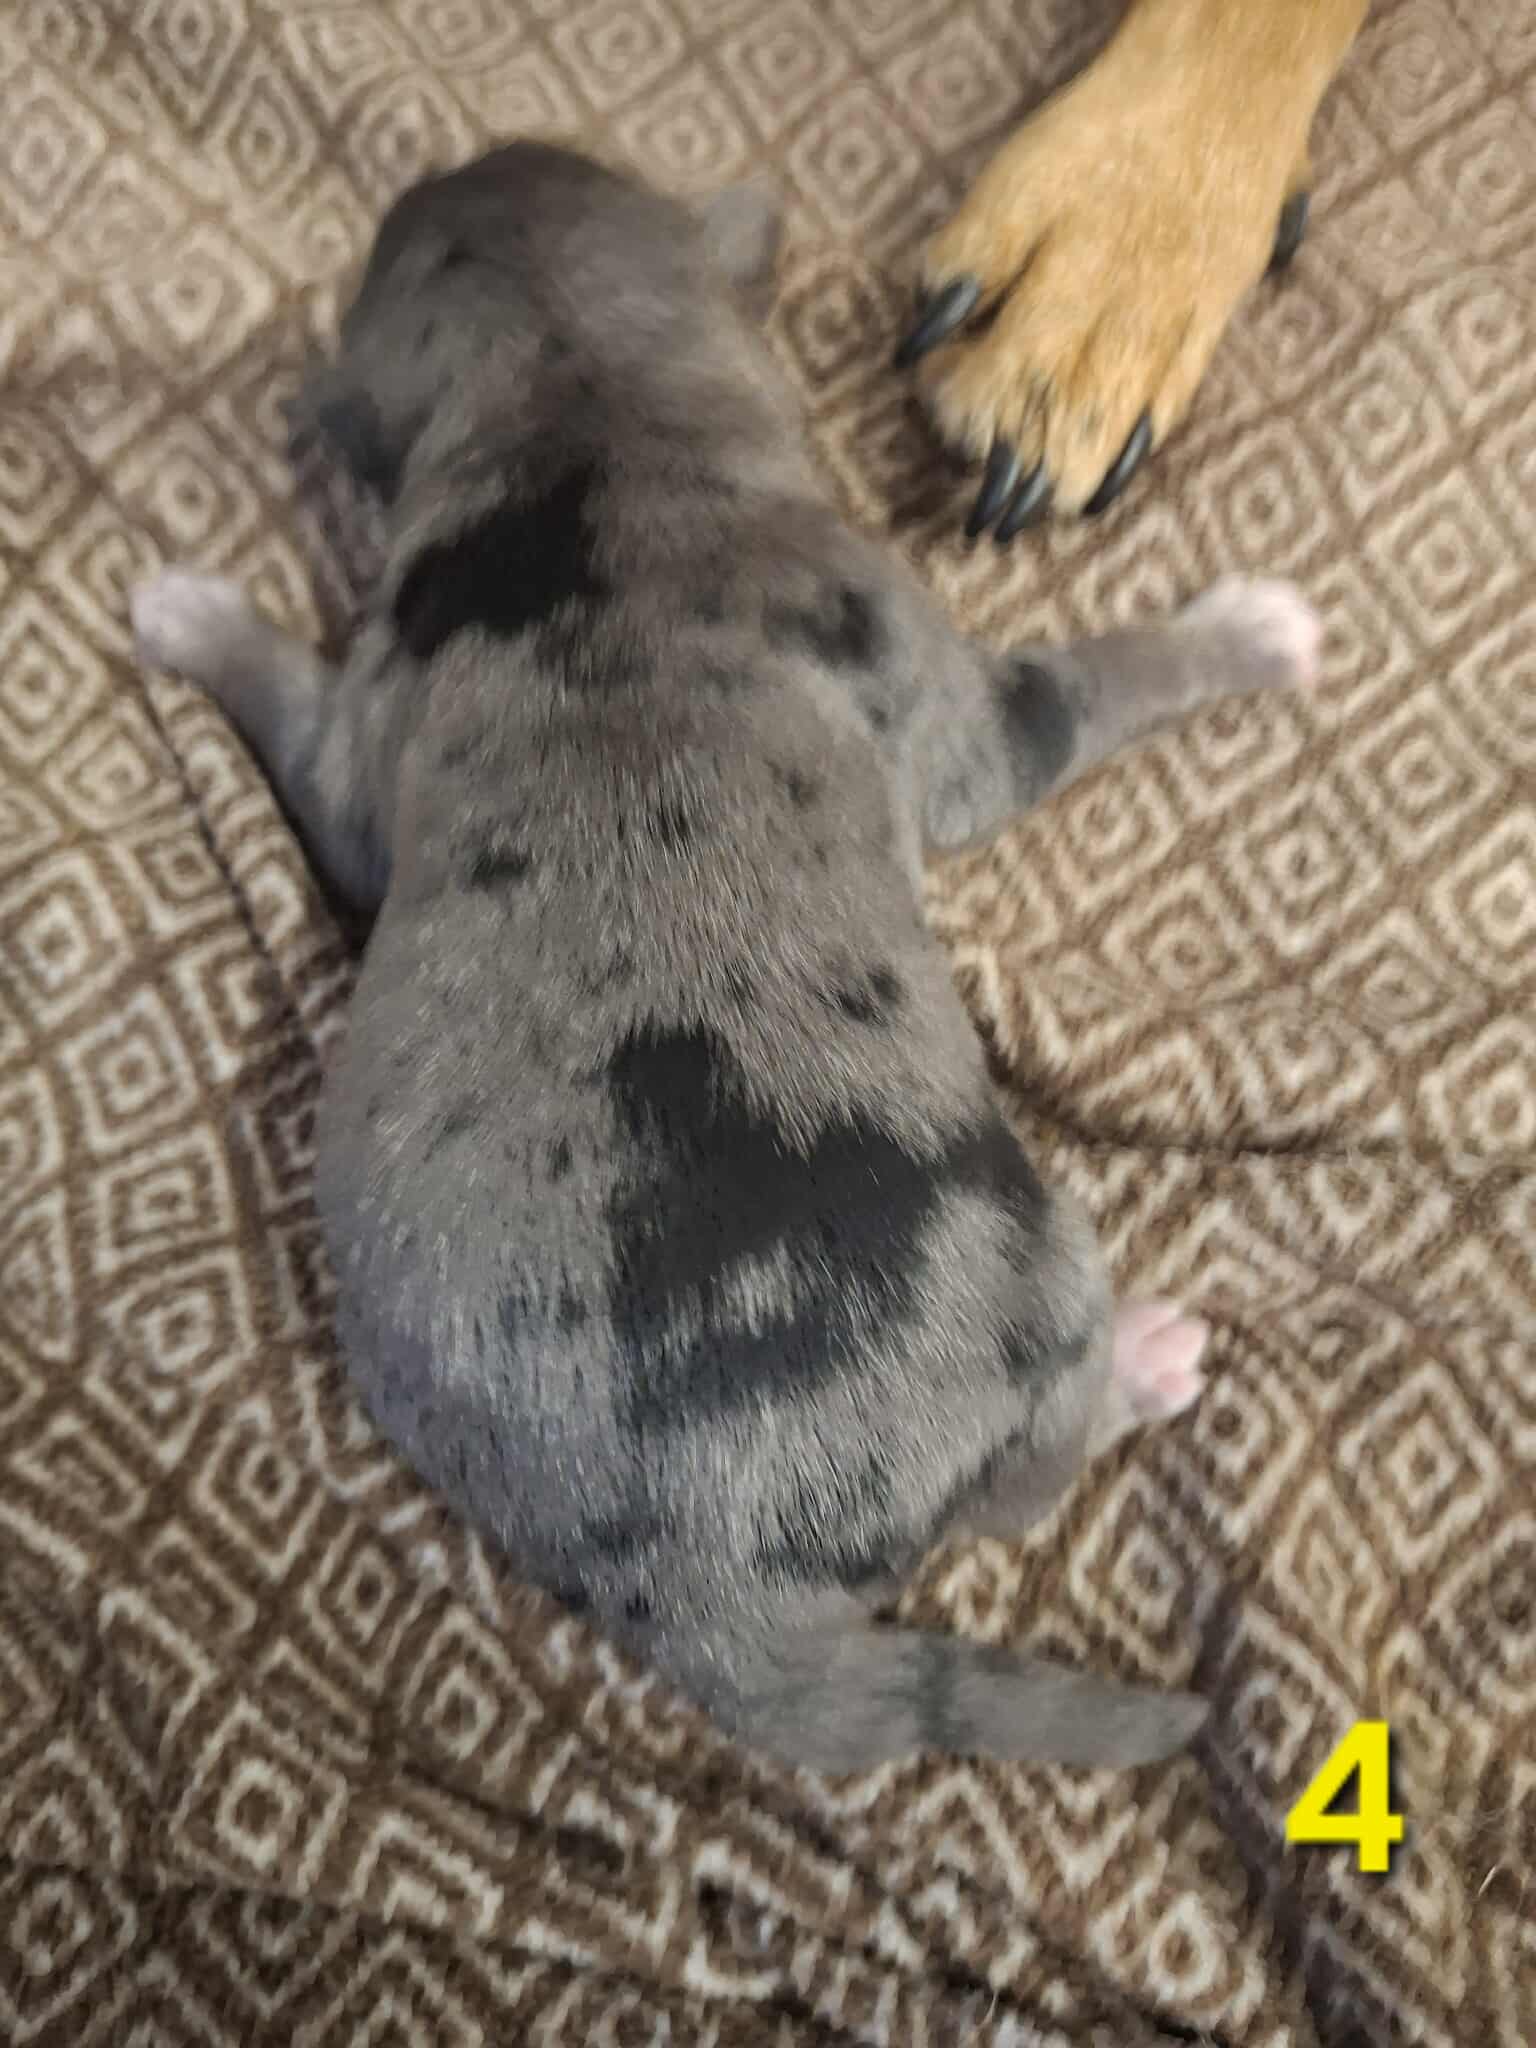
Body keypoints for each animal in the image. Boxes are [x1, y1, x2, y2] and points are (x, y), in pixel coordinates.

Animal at [132, 143, 1320, 1774]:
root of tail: (716, 1605)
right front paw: (1246, 631)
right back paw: (1143, 1359)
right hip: (1034, 1277)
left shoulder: (360, 739)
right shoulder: (960, 709)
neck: (581, 393)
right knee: (1025, 1483)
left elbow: (293, 717)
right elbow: (1103, 680)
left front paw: (189, 614)